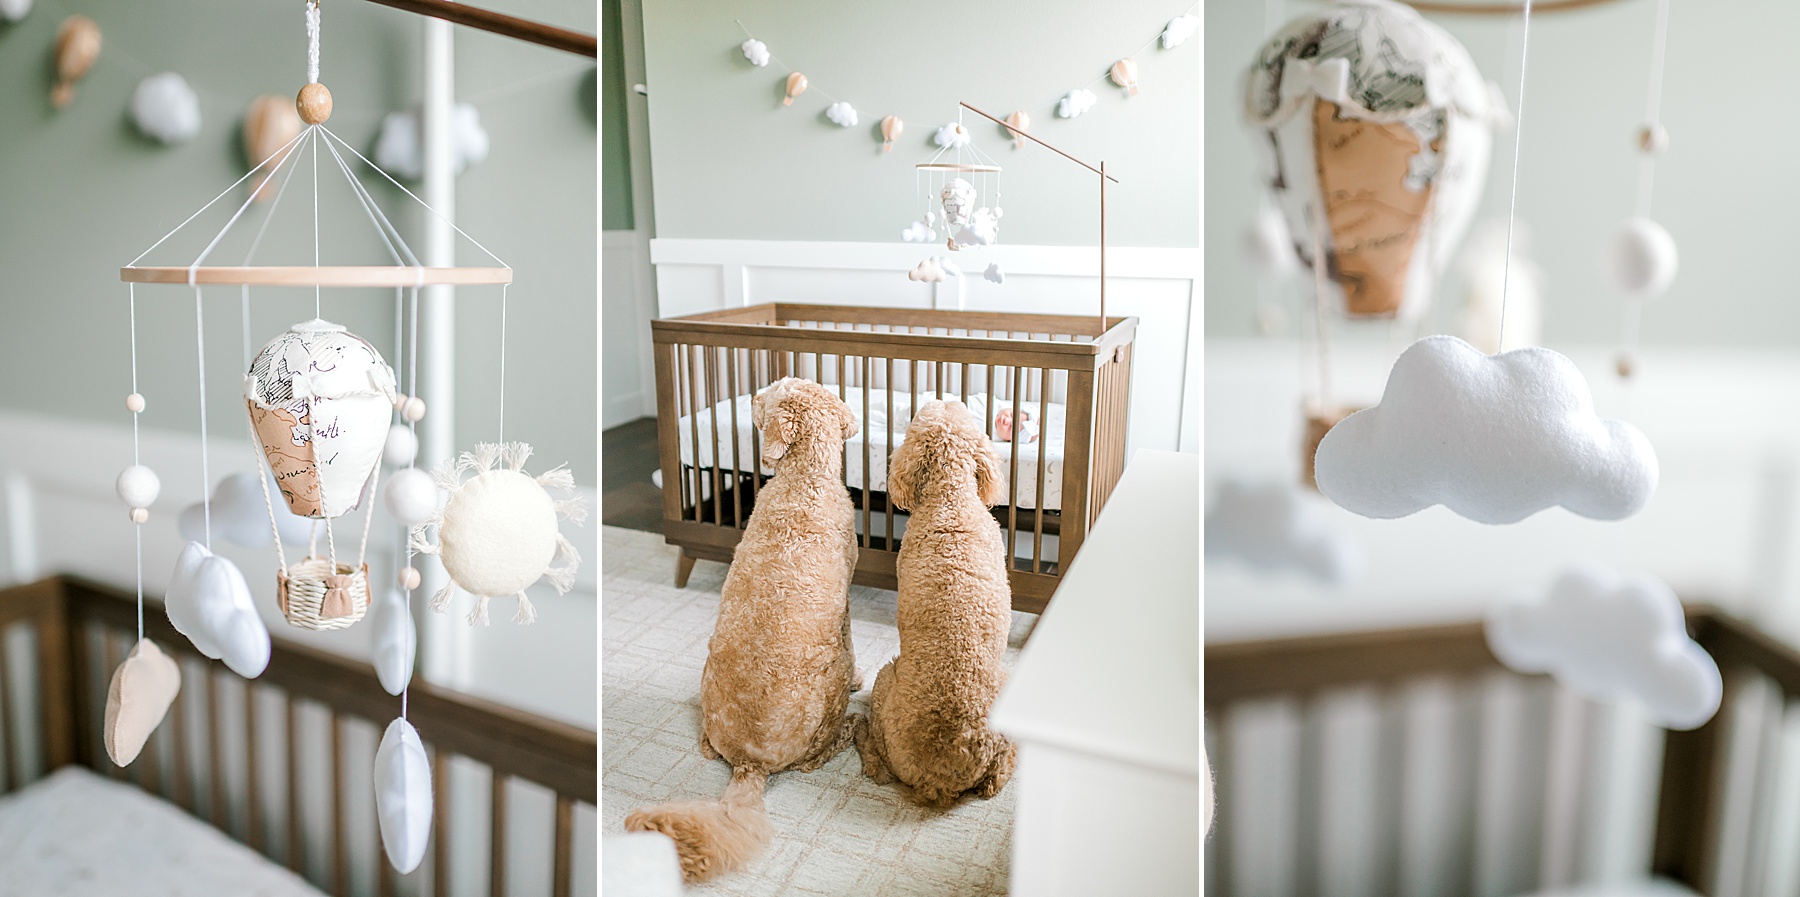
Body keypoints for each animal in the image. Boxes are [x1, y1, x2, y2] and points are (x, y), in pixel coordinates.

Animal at [626, 378, 864, 882]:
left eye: (770, 394)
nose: (753, 394)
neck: (804, 478)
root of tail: (750, 764)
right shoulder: (847, 605)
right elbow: (853, 640)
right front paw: (860, 682)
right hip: (827, 688)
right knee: (816, 757)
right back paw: (853, 725)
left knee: (705, 745)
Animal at [853, 399, 1015, 806]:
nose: (940, 398)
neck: (950, 497)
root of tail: (940, 780)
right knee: (1002, 771)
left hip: (885, 676)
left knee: (875, 755)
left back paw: (859, 729)